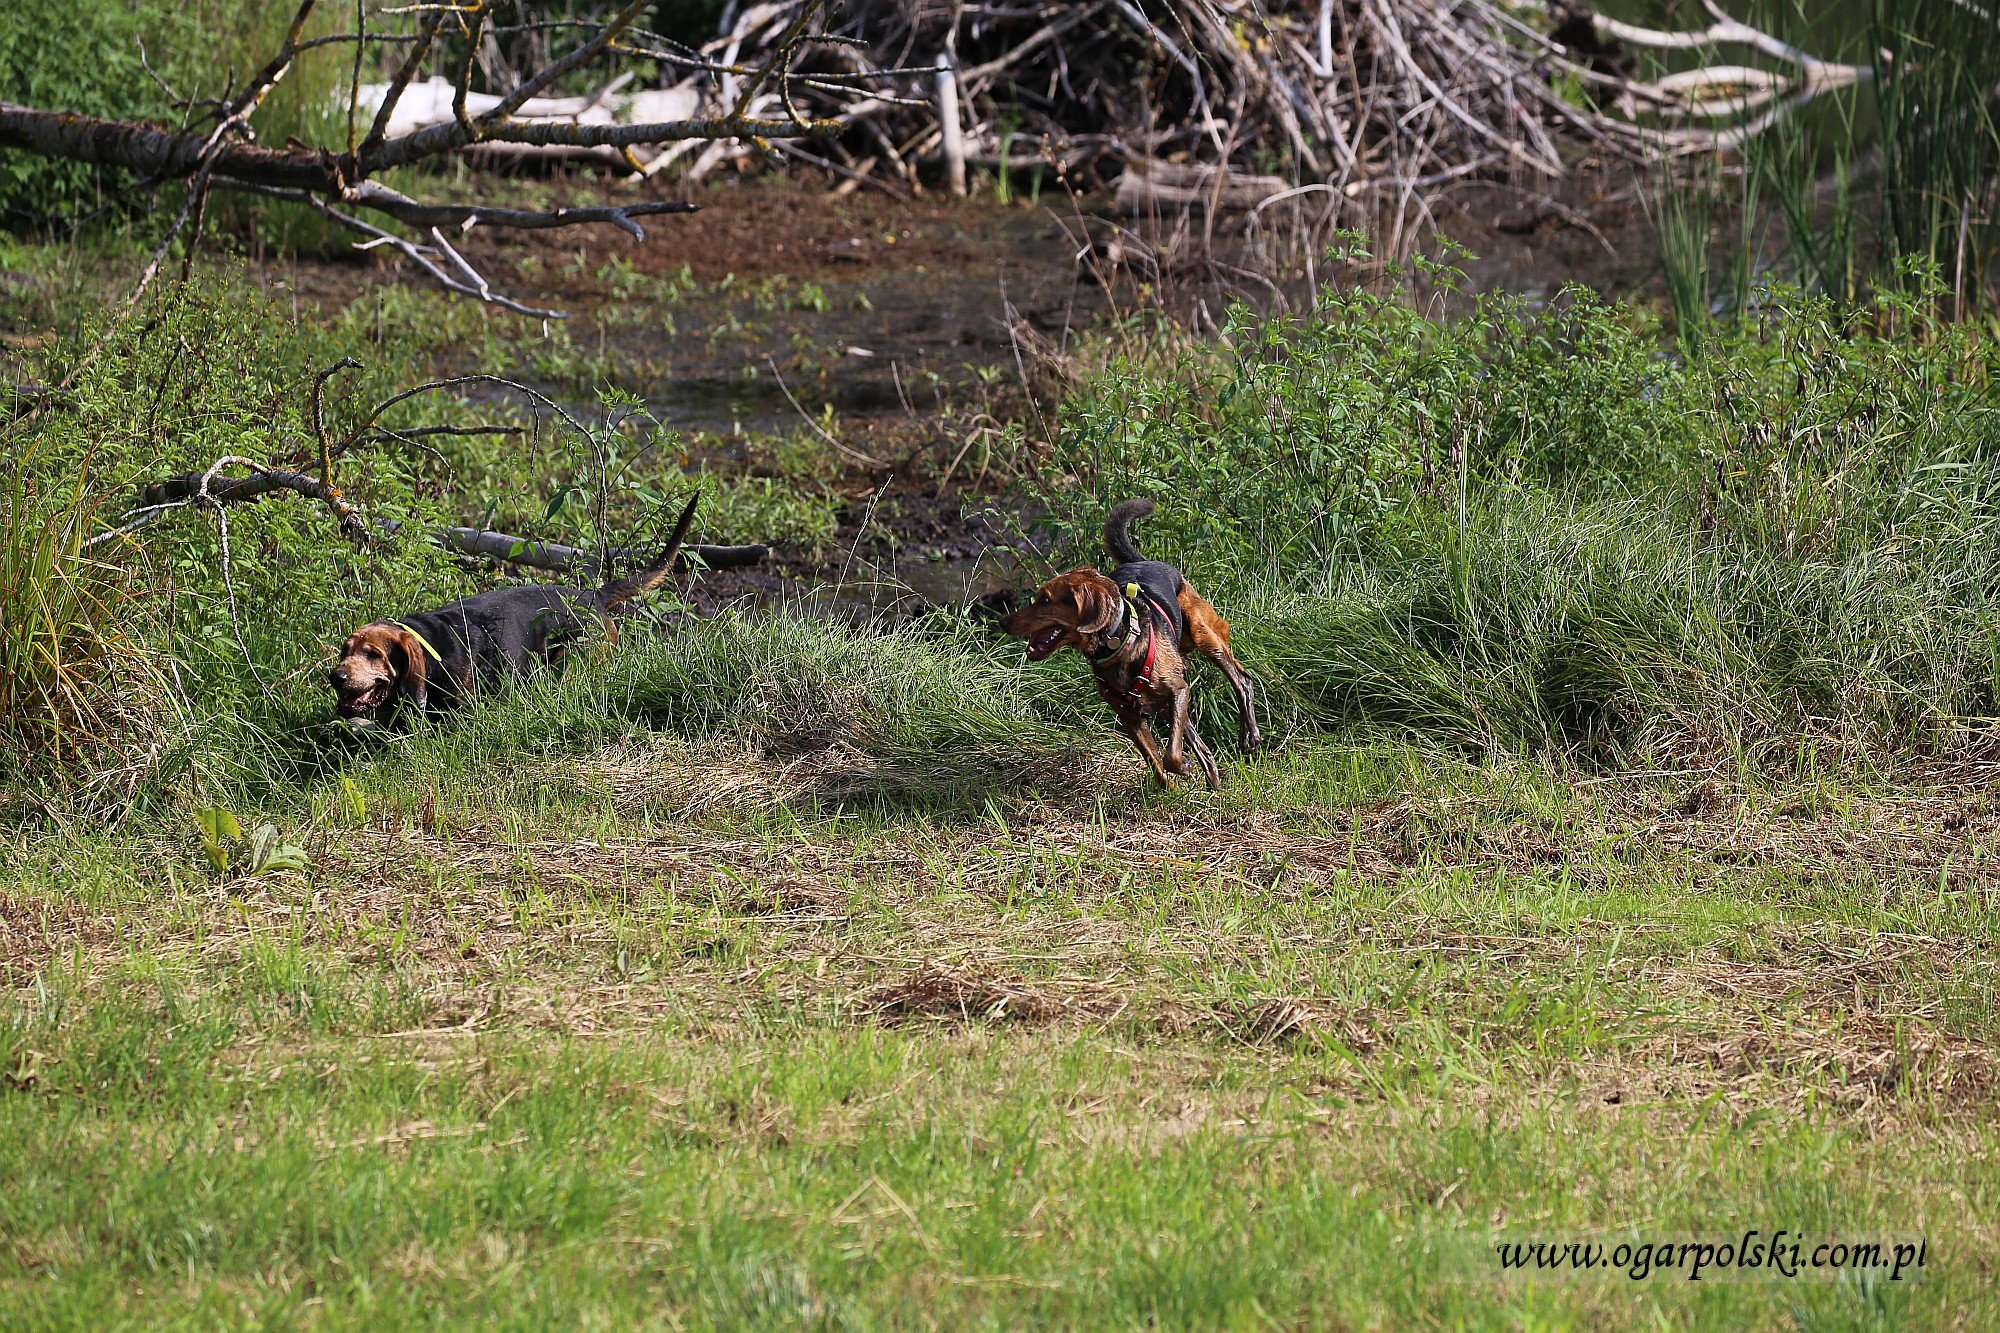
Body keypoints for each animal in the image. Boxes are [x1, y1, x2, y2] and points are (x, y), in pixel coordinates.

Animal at [1008, 500, 1256, 788]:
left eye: (1045, 600)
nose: (1003, 621)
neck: (1117, 643)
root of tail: (1142, 561)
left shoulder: (1178, 690)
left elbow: (1170, 755)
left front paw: (1182, 767)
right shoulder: (1130, 717)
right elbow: (1157, 762)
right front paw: (1173, 786)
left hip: (1203, 633)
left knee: (1242, 680)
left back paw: (1249, 736)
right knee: (1197, 741)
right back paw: (1213, 778)